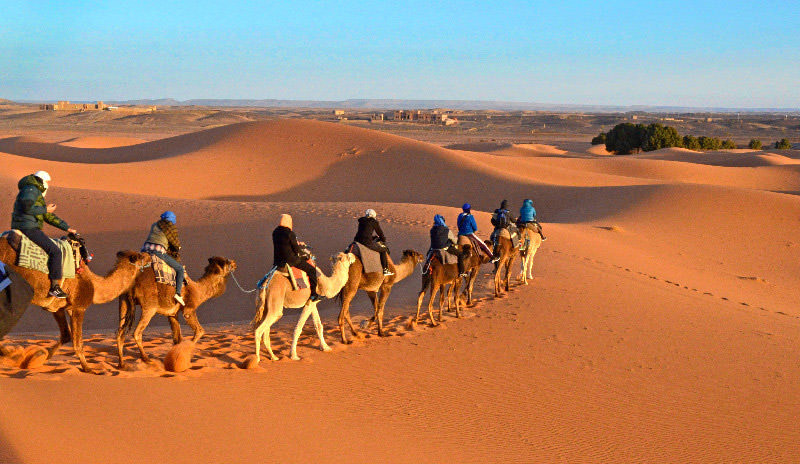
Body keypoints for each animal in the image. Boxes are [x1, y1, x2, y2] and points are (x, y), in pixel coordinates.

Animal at [0, 235, 150, 372]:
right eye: (141, 256)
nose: (149, 255)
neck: (95, 285)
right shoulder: (79, 307)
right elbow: (78, 343)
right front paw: (88, 368)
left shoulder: (59, 308)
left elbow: (66, 335)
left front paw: (36, 358)